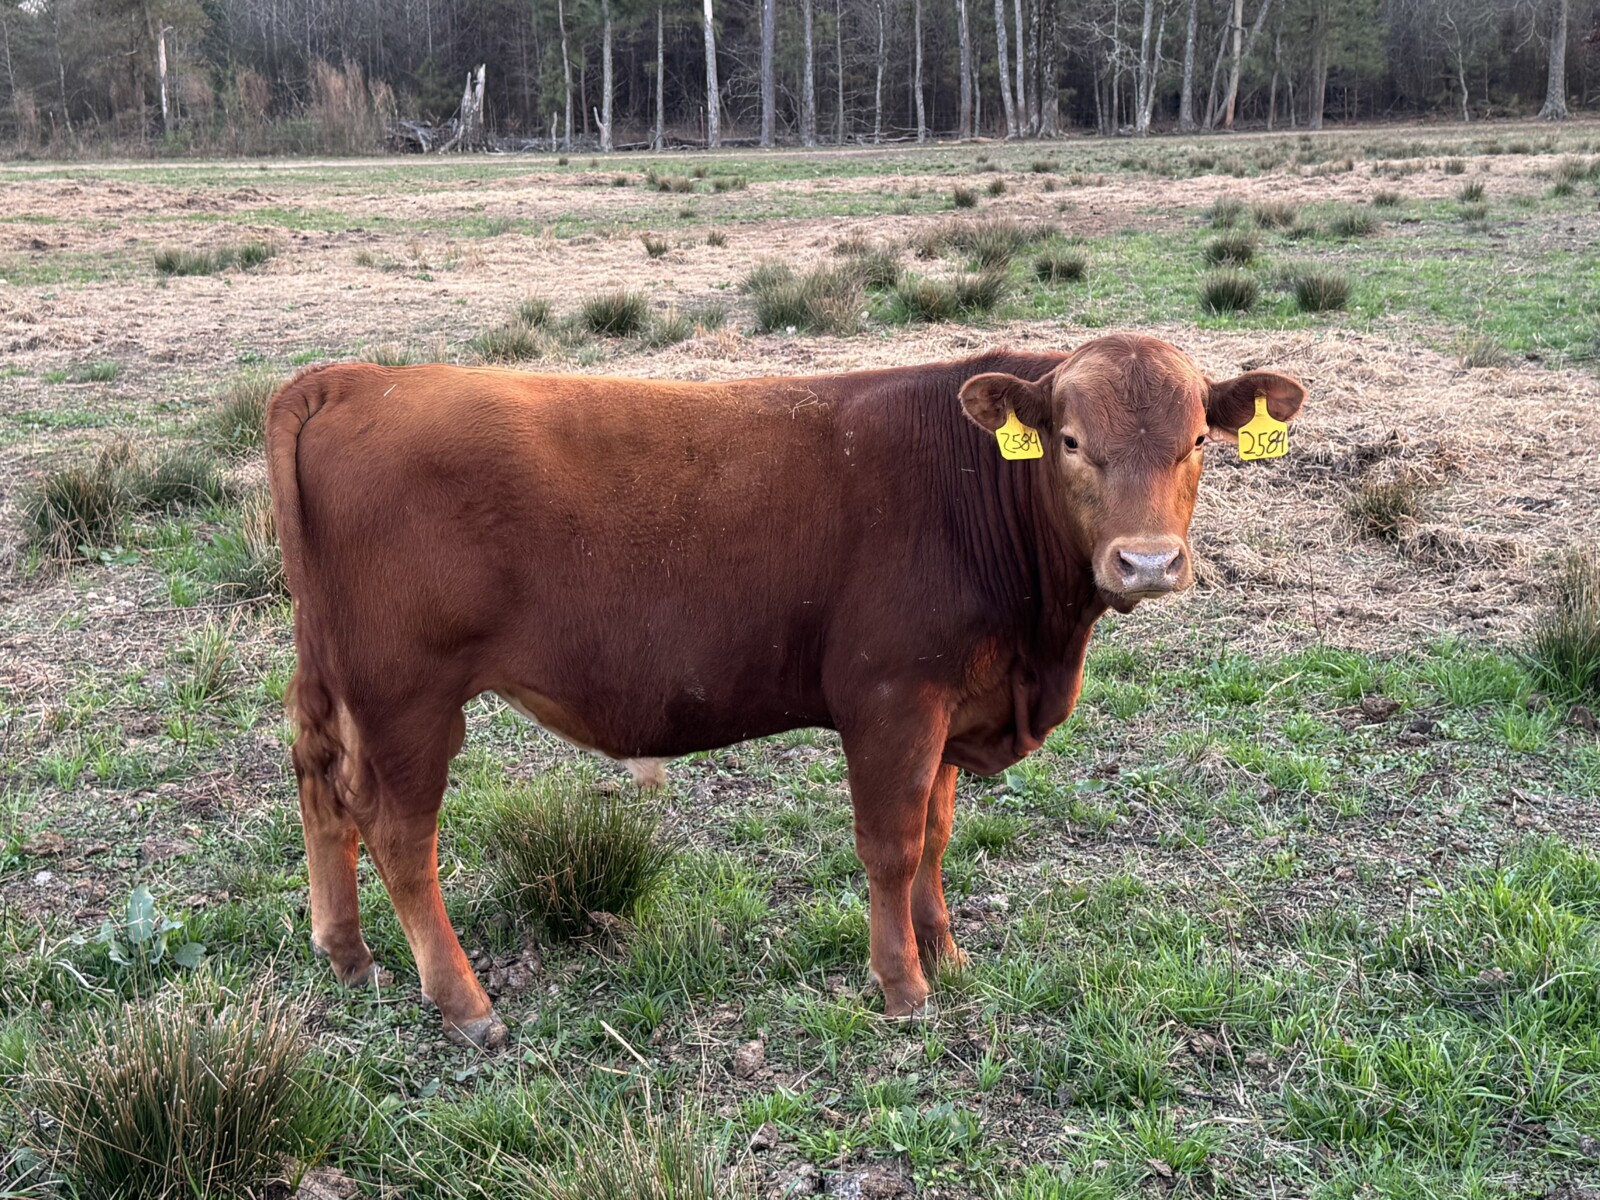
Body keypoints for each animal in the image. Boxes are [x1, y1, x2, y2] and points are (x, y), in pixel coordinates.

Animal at [265, 334, 1305, 1050]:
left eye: (1199, 441)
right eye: (1073, 442)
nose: (1148, 563)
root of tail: (354, 377)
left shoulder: (950, 701)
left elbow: (936, 836)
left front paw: (948, 952)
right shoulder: (891, 699)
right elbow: (891, 845)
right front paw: (903, 986)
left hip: (330, 676)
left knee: (318, 779)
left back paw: (346, 953)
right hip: (407, 696)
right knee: (399, 831)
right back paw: (465, 1003)